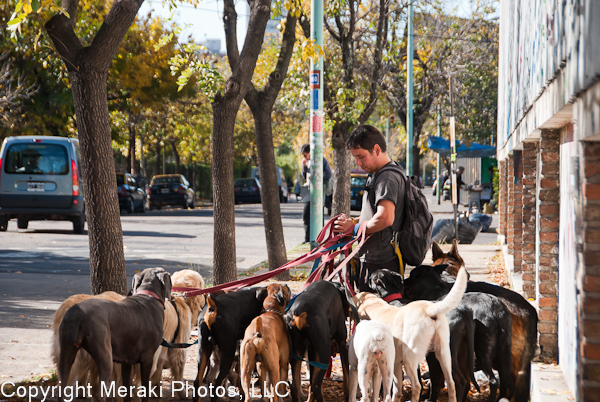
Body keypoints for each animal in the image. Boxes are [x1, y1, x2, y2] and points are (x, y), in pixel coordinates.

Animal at [56, 266, 171, 402]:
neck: (148, 295)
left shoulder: (127, 362)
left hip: (66, 353)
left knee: (62, 386)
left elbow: (127, 390)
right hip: (105, 354)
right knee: (99, 392)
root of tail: (77, 315)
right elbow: (145, 389)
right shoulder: (147, 358)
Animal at [356, 266, 468, 402]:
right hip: (443, 354)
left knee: (417, 386)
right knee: (451, 383)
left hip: (410, 358)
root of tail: (429, 309)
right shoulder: (396, 363)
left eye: (372, 276)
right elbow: (396, 391)